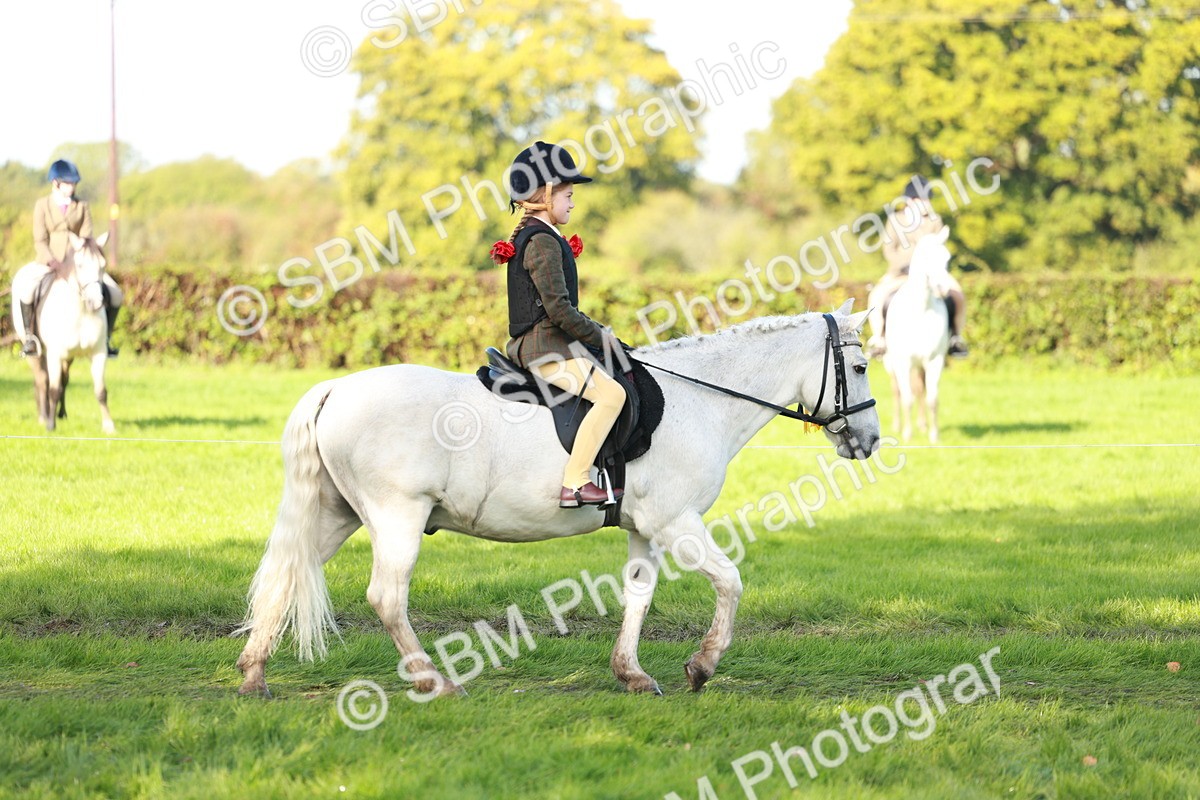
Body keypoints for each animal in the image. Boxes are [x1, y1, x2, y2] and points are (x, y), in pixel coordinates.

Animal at [11, 233, 116, 434]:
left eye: (103, 265)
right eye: (80, 265)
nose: (96, 303)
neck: (82, 311)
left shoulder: (98, 353)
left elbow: (101, 390)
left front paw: (109, 426)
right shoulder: (55, 354)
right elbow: (53, 388)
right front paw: (51, 426)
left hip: (69, 356)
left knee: (64, 380)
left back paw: (62, 414)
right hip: (35, 351)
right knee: (42, 379)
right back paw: (44, 417)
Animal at [235, 300, 881, 698]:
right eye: (858, 366)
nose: (870, 441)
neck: (700, 399)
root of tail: (337, 387)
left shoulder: (645, 527)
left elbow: (638, 595)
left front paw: (631, 674)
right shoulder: (676, 521)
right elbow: (730, 581)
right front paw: (702, 666)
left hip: (338, 512)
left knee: (289, 573)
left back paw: (253, 676)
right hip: (398, 516)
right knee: (386, 597)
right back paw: (434, 681)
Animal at [881, 225, 953, 443]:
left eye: (948, 258)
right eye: (927, 258)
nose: (944, 288)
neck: (921, 310)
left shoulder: (935, 361)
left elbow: (932, 399)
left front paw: (934, 436)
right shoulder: (903, 362)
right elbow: (907, 398)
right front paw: (907, 434)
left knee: (920, 389)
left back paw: (922, 424)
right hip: (891, 362)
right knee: (897, 390)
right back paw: (898, 425)